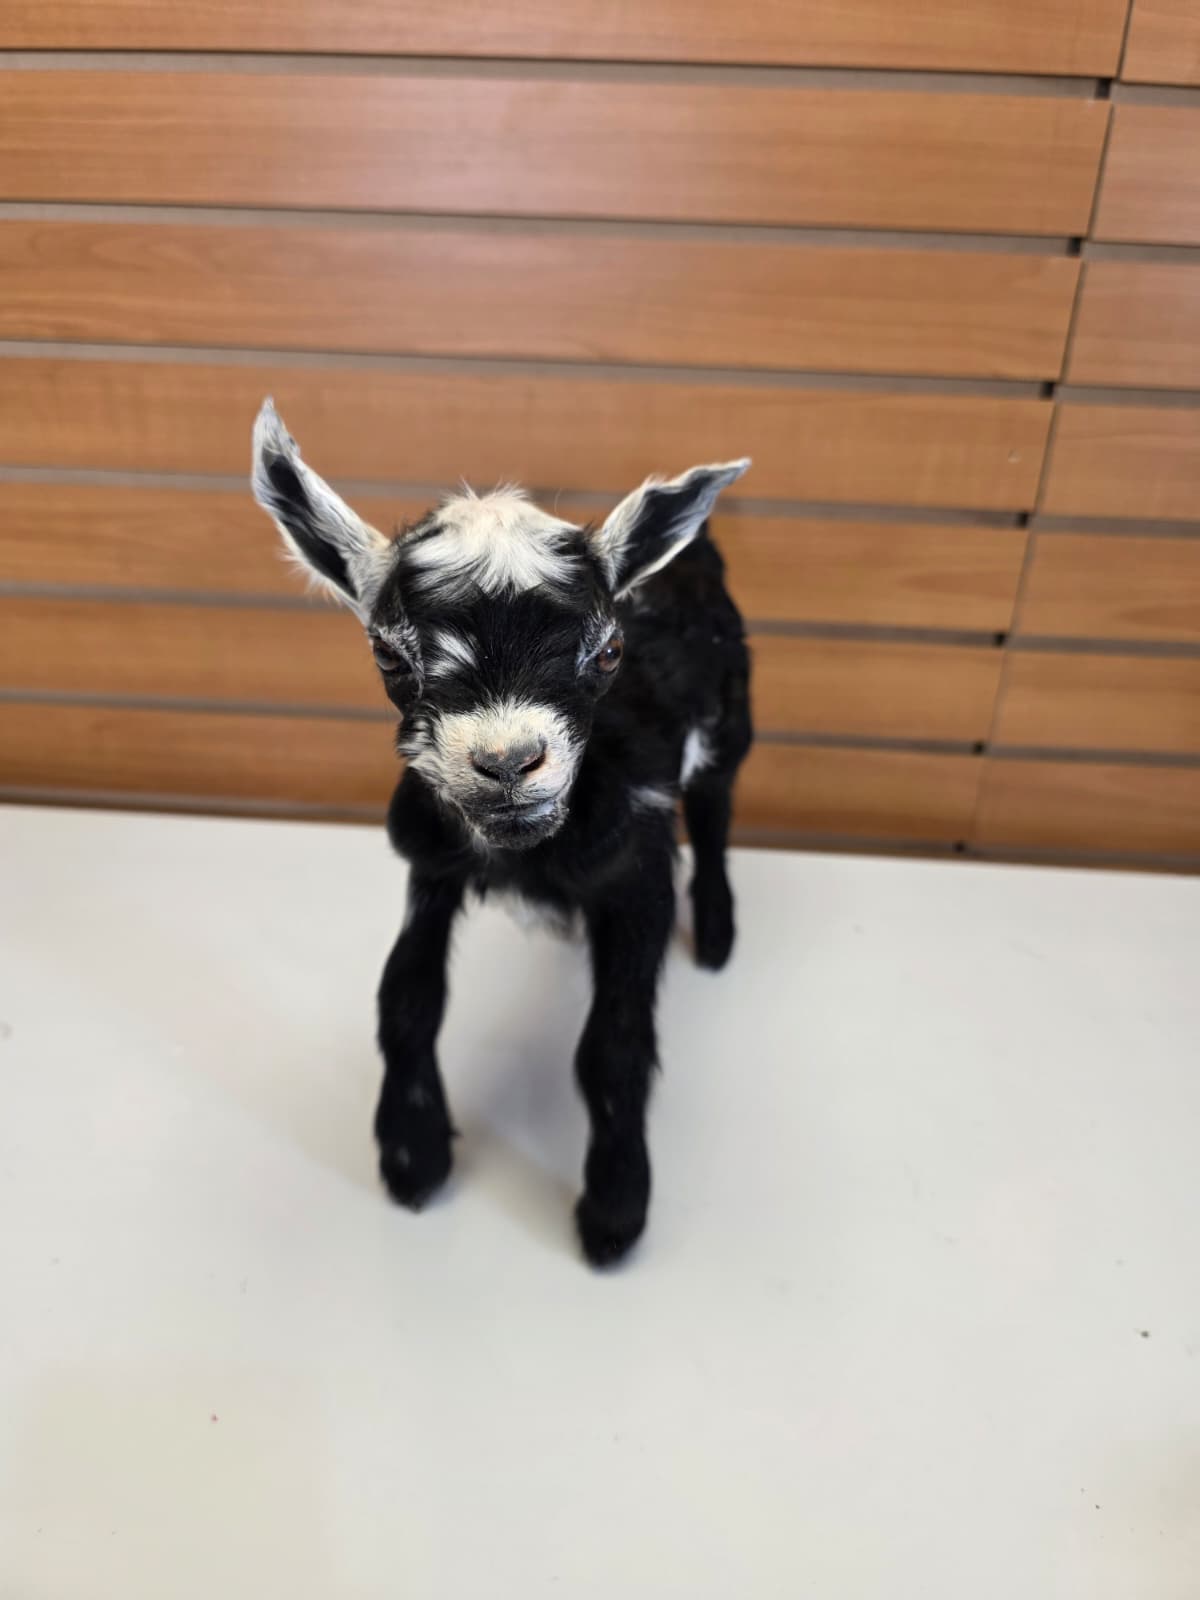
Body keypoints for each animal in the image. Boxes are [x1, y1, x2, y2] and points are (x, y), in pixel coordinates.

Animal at [250, 399, 752, 1265]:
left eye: (610, 649)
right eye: (387, 655)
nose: (509, 762)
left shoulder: (638, 871)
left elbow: (613, 1043)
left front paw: (615, 1210)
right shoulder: (430, 862)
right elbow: (406, 994)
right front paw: (412, 1153)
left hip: (733, 711)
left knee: (718, 803)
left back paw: (718, 934)